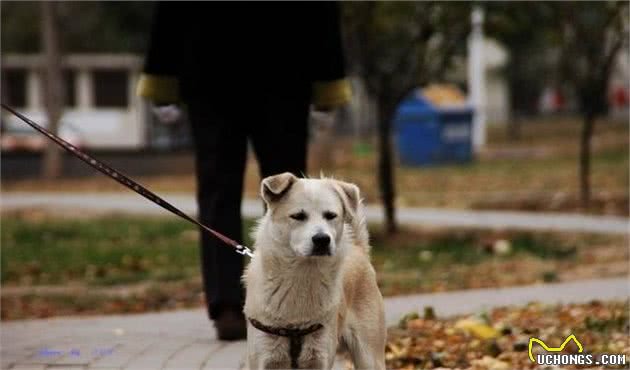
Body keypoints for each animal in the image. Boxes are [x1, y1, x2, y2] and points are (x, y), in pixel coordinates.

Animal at [244, 173, 388, 370]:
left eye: (331, 215)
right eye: (298, 216)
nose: (322, 239)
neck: (302, 275)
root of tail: (359, 249)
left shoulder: (319, 358)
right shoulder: (265, 359)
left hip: (369, 356)